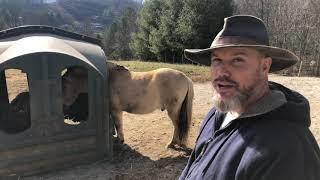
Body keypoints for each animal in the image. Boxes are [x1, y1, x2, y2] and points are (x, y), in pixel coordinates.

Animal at [61, 62, 194, 149]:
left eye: (64, 84)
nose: (64, 110)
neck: (109, 79)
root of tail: (185, 77)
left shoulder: (116, 111)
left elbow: (118, 125)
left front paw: (120, 141)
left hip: (173, 111)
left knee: (177, 125)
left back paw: (172, 143)